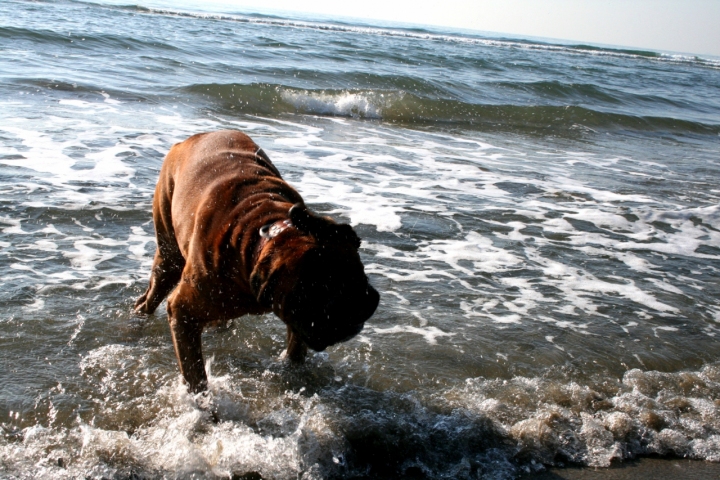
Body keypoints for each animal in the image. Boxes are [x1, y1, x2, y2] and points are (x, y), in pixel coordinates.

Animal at [136, 129, 382, 392]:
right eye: (313, 295)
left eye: (360, 275)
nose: (356, 305)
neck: (263, 230)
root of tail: (191, 138)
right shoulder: (183, 311)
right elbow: (196, 375)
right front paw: (202, 401)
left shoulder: (295, 325)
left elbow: (295, 350)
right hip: (168, 256)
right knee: (152, 296)